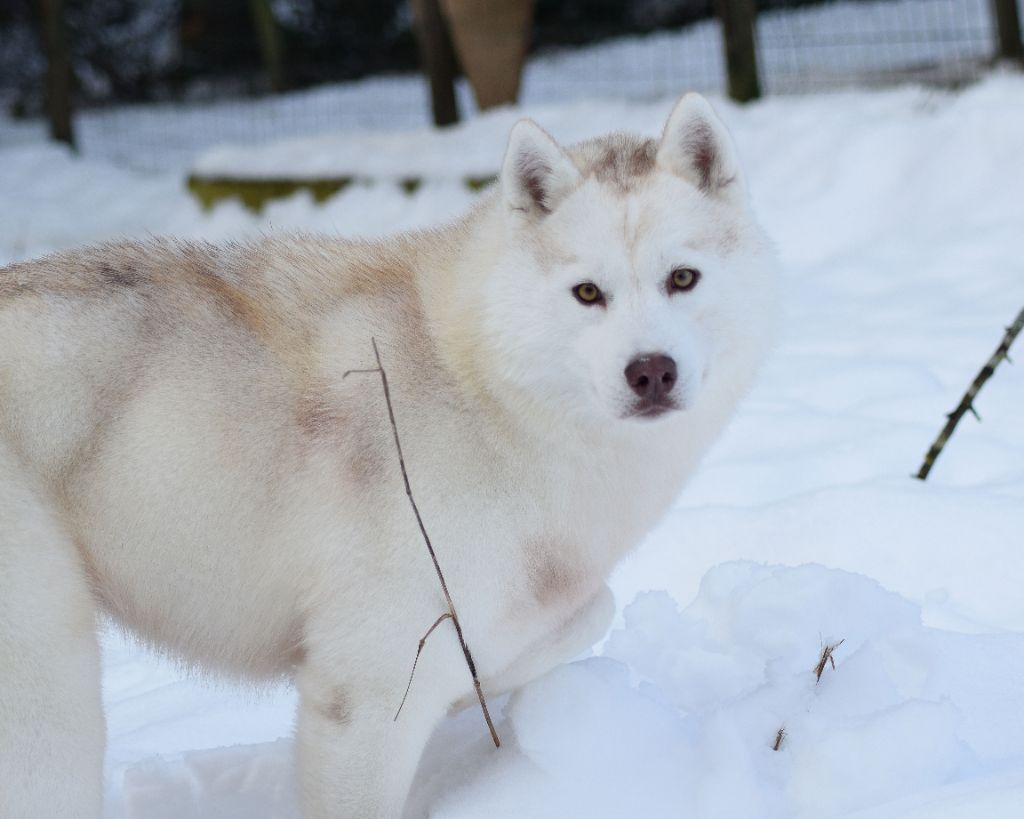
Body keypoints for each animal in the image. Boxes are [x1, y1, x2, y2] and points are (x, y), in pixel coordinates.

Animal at [0, 94, 774, 810]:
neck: (483, 387)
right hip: (51, 699)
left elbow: (592, 609)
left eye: (682, 278)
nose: (652, 372)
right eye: (588, 293)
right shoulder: (365, 694)